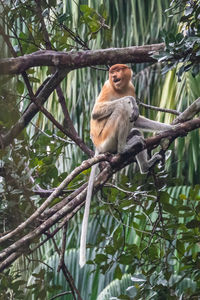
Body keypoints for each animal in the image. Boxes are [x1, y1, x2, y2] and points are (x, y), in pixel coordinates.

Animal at [79, 63, 173, 268]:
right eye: (112, 72)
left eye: (118, 70)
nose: (114, 74)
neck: (120, 89)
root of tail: (98, 147)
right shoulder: (107, 87)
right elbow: (97, 112)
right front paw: (131, 102)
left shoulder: (131, 86)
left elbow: (137, 119)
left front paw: (171, 128)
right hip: (106, 139)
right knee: (122, 109)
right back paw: (124, 148)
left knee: (135, 129)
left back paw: (145, 163)